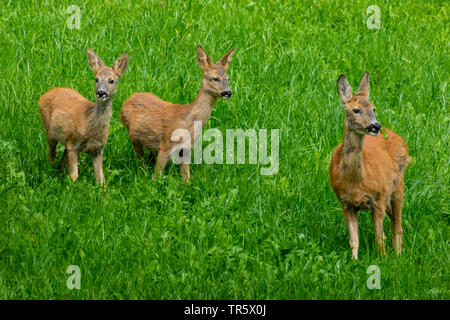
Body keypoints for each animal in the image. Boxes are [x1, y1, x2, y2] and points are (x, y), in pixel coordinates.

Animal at [37, 47, 129, 182]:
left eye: (111, 80)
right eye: (96, 79)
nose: (101, 93)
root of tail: (43, 95)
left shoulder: (98, 149)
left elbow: (101, 179)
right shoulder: (73, 142)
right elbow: (74, 176)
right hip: (50, 132)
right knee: (52, 153)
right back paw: (50, 172)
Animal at [119, 45, 236, 181]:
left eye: (228, 79)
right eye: (215, 78)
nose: (228, 92)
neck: (189, 121)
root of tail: (127, 101)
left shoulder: (187, 147)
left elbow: (186, 177)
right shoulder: (167, 143)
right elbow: (156, 176)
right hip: (133, 136)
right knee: (141, 160)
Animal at [326, 71, 412, 258]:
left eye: (373, 109)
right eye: (356, 110)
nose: (375, 126)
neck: (355, 181)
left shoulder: (378, 199)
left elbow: (380, 237)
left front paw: (384, 259)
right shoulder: (345, 202)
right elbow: (354, 239)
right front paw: (353, 260)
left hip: (398, 186)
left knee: (397, 225)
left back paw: (398, 255)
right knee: (394, 220)